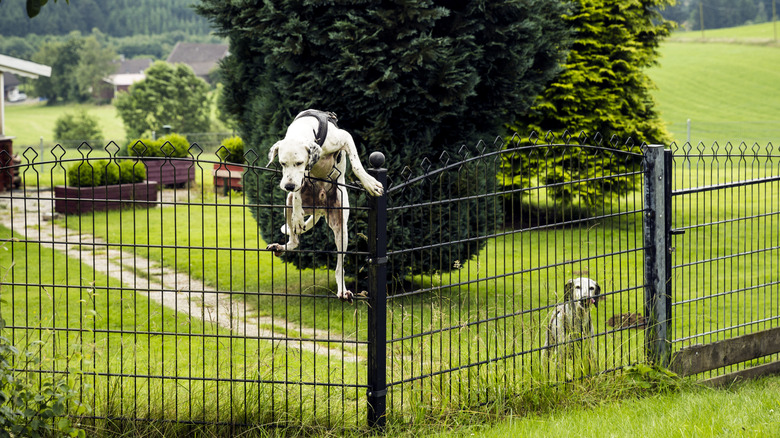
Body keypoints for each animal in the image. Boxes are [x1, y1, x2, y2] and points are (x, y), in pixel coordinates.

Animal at [266, 109, 384, 302]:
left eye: (299, 162)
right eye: (282, 163)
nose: (288, 185)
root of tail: (320, 208)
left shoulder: (345, 138)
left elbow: (357, 165)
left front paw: (369, 183)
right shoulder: (298, 183)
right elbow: (297, 194)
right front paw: (297, 217)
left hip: (341, 229)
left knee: (339, 268)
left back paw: (343, 290)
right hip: (287, 204)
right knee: (295, 239)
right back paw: (283, 245)